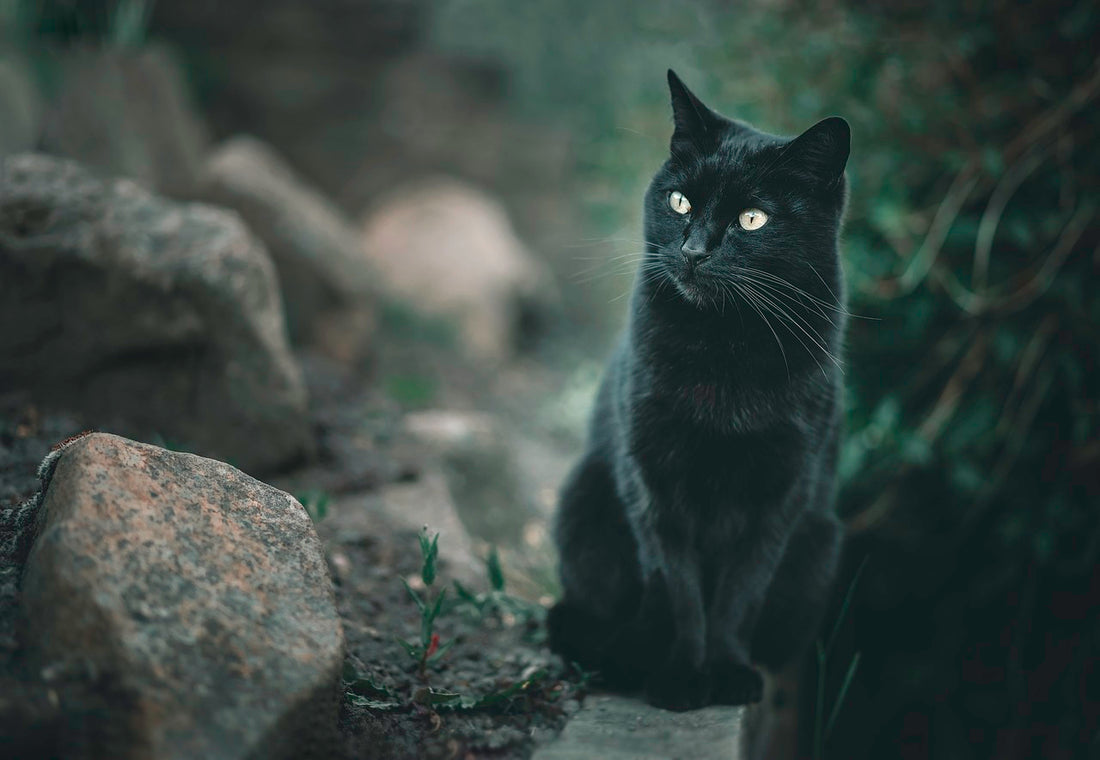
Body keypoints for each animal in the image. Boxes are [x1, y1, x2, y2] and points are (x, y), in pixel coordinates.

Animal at [550, 71, 849, 712]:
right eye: (679, 201)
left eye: (752, 220)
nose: (692, 251)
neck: (724, 352)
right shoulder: (654, 482)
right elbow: (680, 588)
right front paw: (683, 676)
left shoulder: (781, 493)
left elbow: (740, 593)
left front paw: (728, 671)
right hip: (585, 501)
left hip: (821, 542)